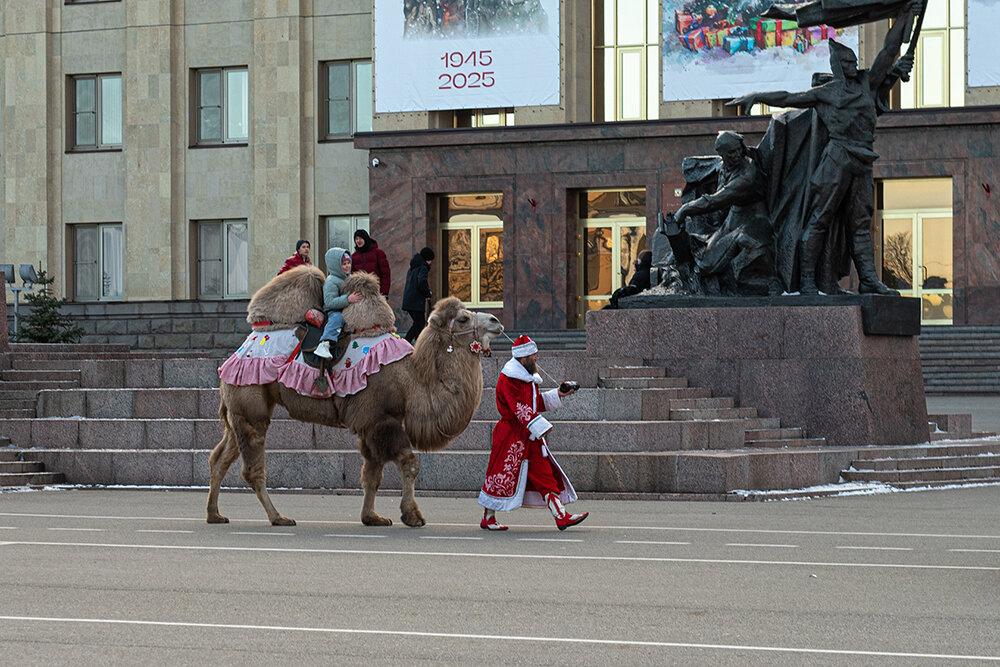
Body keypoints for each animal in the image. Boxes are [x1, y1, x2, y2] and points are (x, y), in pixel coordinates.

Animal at [205, 264, 500, 528]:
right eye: (462, 318)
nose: (496, 321)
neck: (411, 378)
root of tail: (238, 351)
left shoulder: (374, 424)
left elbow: (371, 475)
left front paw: (373, 517)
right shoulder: (378, 419)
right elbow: (409, 464)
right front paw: (412, 515)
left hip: (239, 410)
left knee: (220, 457)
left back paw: (215, 514)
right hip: (249, 402)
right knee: (252, 466)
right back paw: (279, 518)